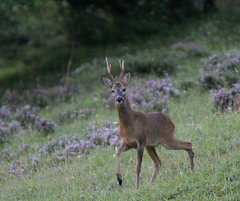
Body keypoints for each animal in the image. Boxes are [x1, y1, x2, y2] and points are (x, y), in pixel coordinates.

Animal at [100, 57, 194, 189]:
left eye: (124, 89)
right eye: (112, 90)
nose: (119, 99)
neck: (129, 125)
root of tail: (171, 121)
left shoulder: (140, 141)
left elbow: (137, 168)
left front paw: (136, 187)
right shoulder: (128, 143)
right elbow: (117, 152)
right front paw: (119, 179)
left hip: (167, 139)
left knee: (188, 144)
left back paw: (192, 170)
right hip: (151, 145)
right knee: (158, 162)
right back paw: (150, 183)